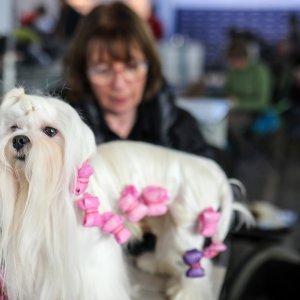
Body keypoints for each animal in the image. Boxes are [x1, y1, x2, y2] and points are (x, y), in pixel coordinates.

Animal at [0, 88, 253, 298]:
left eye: (50, 131)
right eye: (14, 128)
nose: (19, 139)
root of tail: (211, 169)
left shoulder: (93, 257)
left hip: (187, 228)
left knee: (195, 264)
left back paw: (186, 291)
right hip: (168, 220)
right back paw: (156, 265)